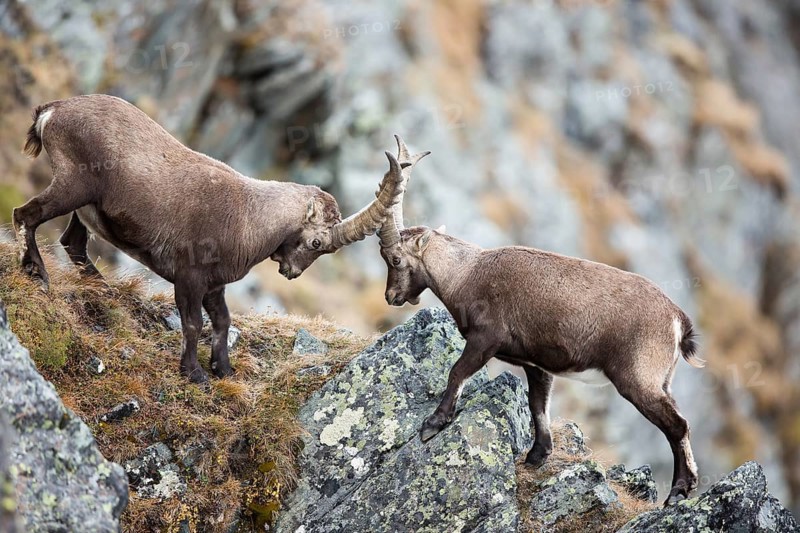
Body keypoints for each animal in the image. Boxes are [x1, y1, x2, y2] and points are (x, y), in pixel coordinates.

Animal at [14, 94, 408, 383]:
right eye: (316, 244)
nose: (291, 273)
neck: (250, 215)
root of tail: (52, 111)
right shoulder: (188, 277)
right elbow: (194, 323)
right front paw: (194, 373)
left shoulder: (214, 285)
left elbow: (223, 321)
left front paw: (224, 368)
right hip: (73, 185)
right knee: (25, 215)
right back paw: (37, 272)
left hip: (86, 205)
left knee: (72, 242)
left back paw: (102, 289)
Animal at [376, 138, 704, 506]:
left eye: (394, 259)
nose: (391, 296)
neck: (466, 274)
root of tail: (677, 318)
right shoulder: (537, 365)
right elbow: (538, 405)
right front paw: (537, 455)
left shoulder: (484, 339)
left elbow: (457, 372)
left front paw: (433, 424)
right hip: (662, 381)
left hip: (638, 379)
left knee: (677, 425)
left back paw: (679, 490)